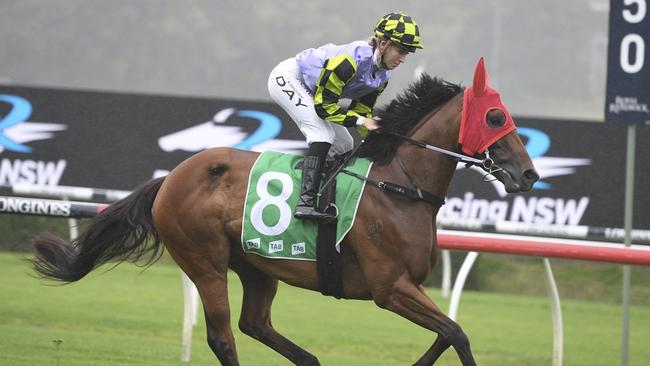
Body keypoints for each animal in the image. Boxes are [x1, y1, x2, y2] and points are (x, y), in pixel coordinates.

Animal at [30, 58, 536, 364]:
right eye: (495, 118)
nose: (529, 175)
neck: (398, 186)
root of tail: (170, 179)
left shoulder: (408, 286)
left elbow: (447, 334)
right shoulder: (389, 287)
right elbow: (457, 334)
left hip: (256, 265)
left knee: (254, 324)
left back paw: (309, 359)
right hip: (204, 261)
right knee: (223, 335)